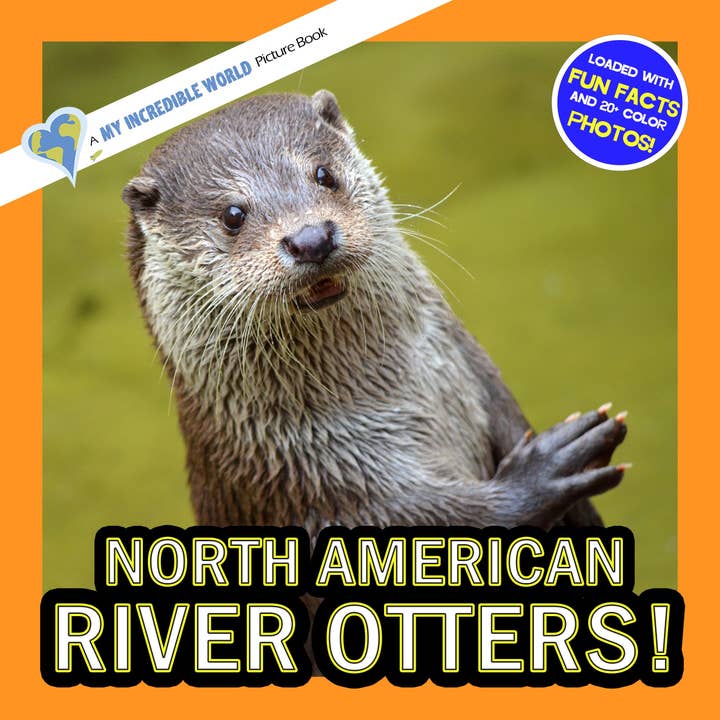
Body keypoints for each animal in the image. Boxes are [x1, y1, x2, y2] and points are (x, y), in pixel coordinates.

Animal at [122, 90, 627, 536]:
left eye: (323, 174)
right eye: (232, 215)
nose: (310, 238)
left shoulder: (475, 370)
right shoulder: (309, 485)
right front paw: (546, 472)